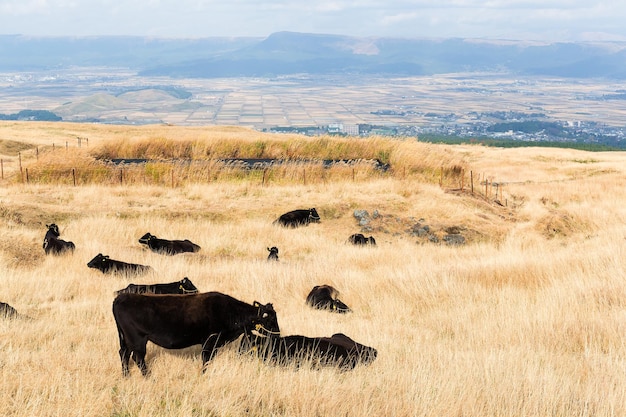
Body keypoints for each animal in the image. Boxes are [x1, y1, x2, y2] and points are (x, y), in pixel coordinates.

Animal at [111, 290, 278, 376]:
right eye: (271, 320)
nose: (278, 334)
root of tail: (121, 297)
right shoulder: (209, 342)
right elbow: (206, 360)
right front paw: (203, 374)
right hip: (137, 339)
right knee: (137, 357)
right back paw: (149, 377)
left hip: (125, 339)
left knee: (124, 354)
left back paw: (126, 376)